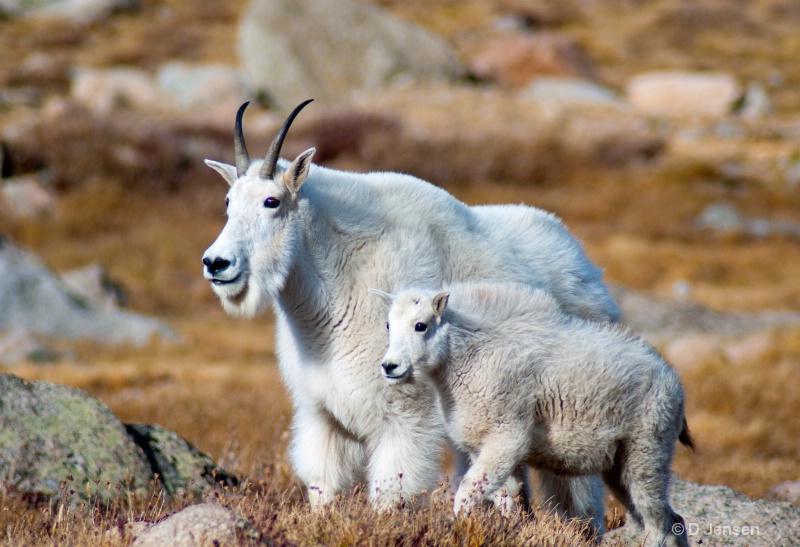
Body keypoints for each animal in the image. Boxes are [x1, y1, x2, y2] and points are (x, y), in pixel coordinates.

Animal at [203, 98, 620, 524]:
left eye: (272, 201)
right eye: (228, 202)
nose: (216, 263)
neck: (338, 286)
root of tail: (587, 266)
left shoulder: (405, 418)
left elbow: (391, 494)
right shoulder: (323, 414)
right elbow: (323, 486)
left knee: (576, 490)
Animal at [376, 282, 692, 547]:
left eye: (420, 325)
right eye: (388, 325)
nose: (390, 366)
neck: (467, 358)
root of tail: (675, 383)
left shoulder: (507, 435)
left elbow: (467, 492)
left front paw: (461, 530)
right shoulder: (487, 448)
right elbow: (509, 500)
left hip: (647, 450)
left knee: (657, 523)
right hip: (620, 467)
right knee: (673, 522)